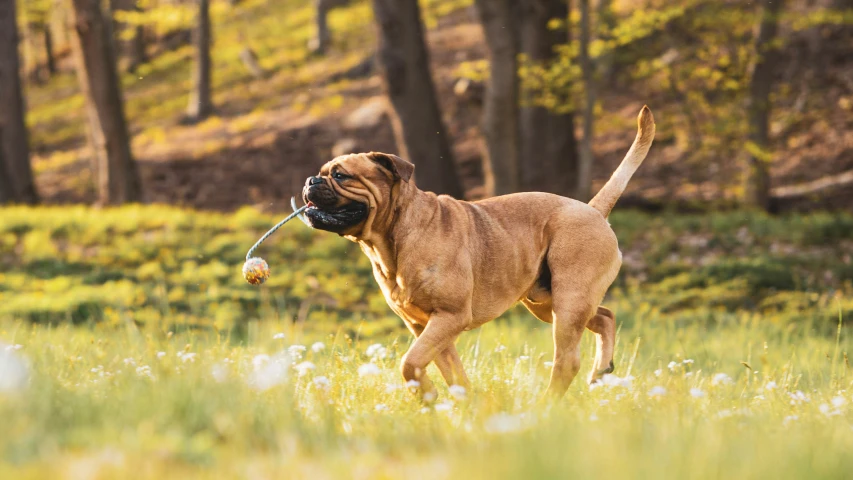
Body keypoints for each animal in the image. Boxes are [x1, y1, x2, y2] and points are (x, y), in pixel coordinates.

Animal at [302, 107, 656, 400]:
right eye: (322, 171)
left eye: (341, 174)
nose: (310, 179)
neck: (392, 239)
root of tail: (594, 210)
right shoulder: (425, 326)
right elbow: (449, 371)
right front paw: (458, 405)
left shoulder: (449, 317)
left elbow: (410, 362)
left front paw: (428, 397)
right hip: (548, 302)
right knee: (605, 316)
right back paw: (601, 370)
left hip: (569, 302)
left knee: (566, 361)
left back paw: (548, 405)